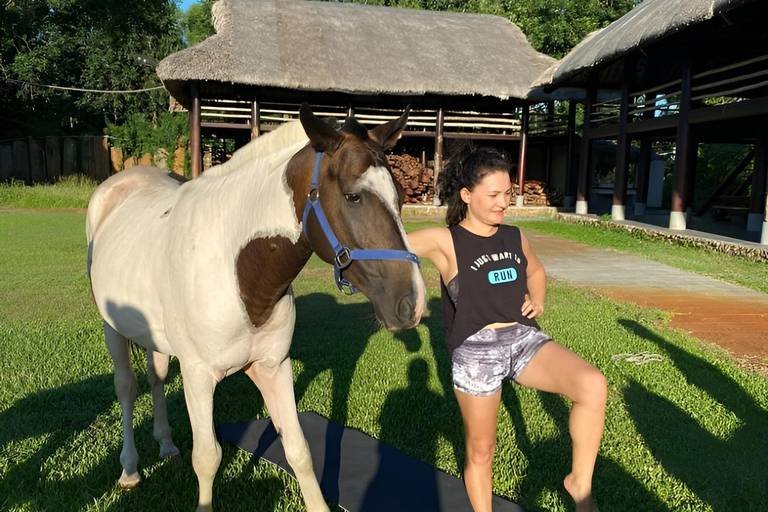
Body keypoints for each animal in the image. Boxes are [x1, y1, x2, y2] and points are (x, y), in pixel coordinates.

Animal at [88, 105, 432, 512]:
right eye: (353, 197)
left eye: (401, 196)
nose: (411, 303)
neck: (239, 272)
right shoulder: (197, 376)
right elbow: (207, 458)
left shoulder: (273, 367)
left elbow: (299, 450)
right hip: (112, 329)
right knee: (126, 388)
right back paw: (129, 470)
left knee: (156, 378)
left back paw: (167, 445)